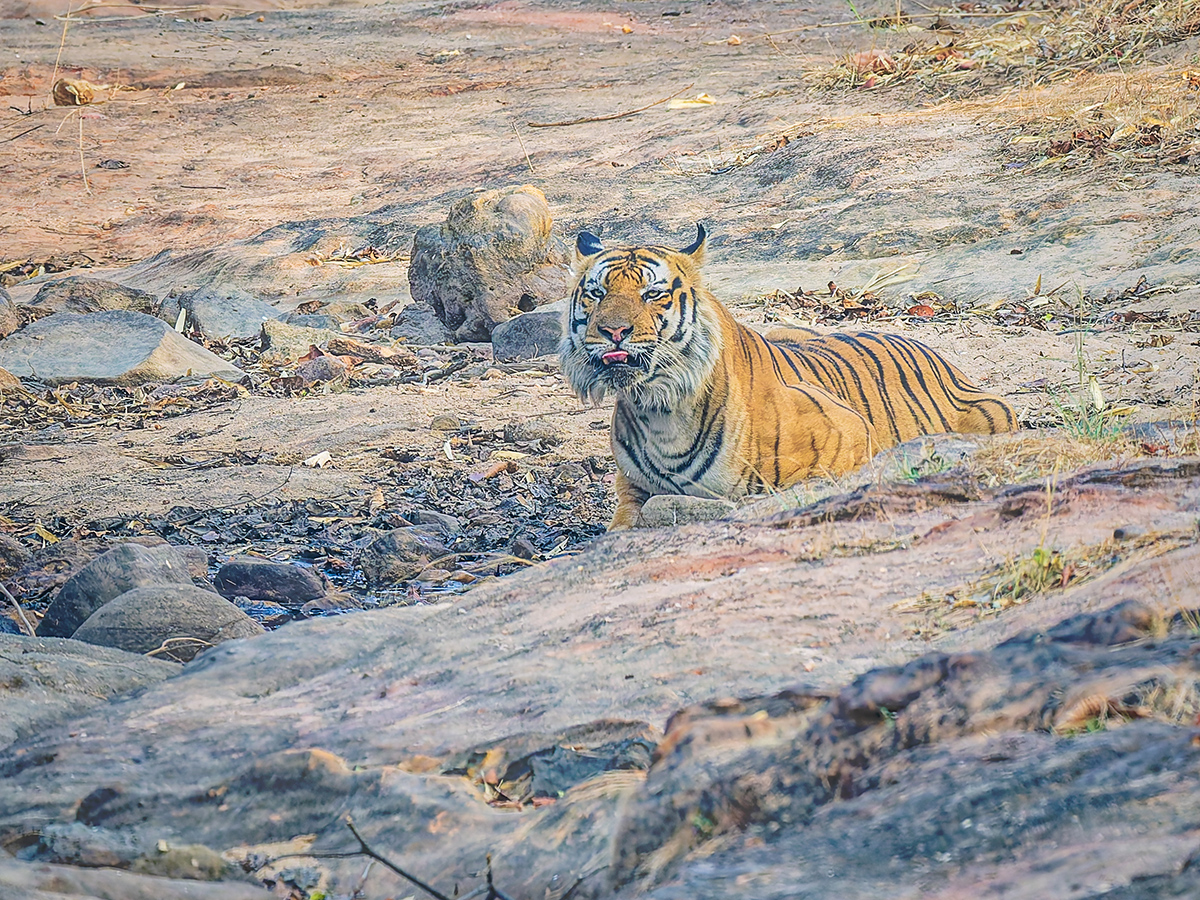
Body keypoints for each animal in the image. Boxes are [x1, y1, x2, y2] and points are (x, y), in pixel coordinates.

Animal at [560, 225, 1018, 530]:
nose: (613, 331)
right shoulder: (631, 489)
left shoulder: (851, 432)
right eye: (597, 293)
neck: (658, 409)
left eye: (652, 293)